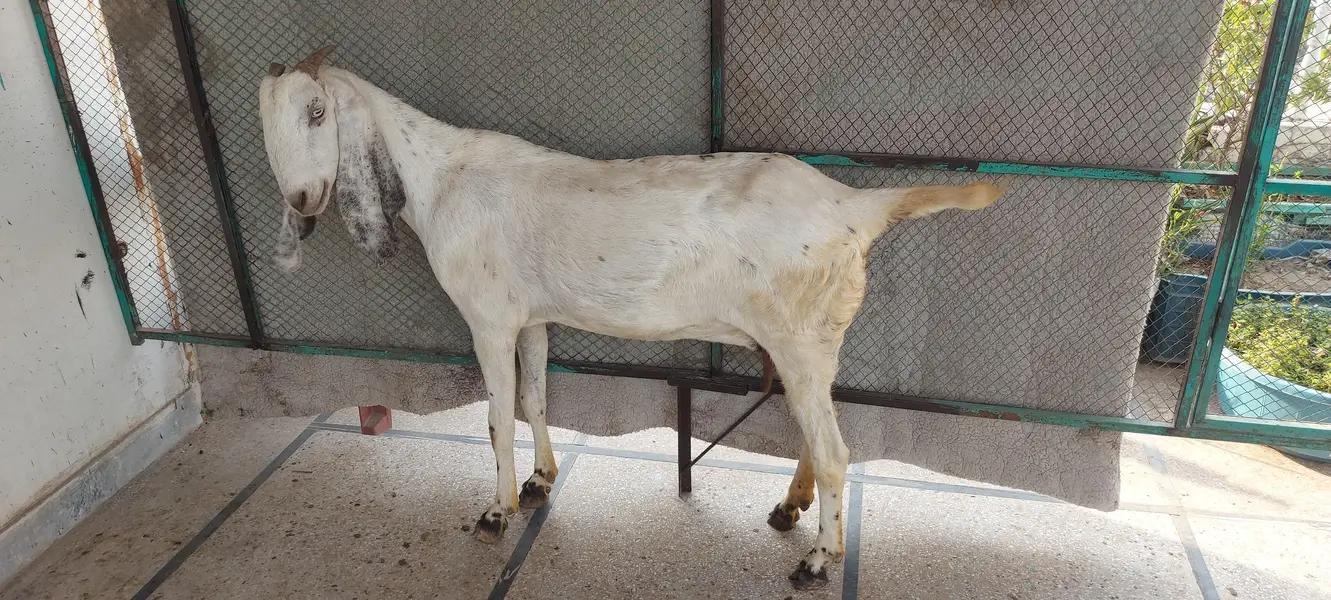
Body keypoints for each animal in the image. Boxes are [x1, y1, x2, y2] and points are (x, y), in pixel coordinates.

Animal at [259, 45, 1004, 590]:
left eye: (319, 112)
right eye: (264, 125)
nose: (301, 198)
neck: (440, 178)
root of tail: (855, 206)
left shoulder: (488, 320)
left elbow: (497, 417)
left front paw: (496, 512)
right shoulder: (531, 319)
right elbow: (535, 397)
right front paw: (539, 481)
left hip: (796, 338)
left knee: (834, 451)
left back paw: (817, 560)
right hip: (811, 345)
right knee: (816, 434)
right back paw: (789, 509)